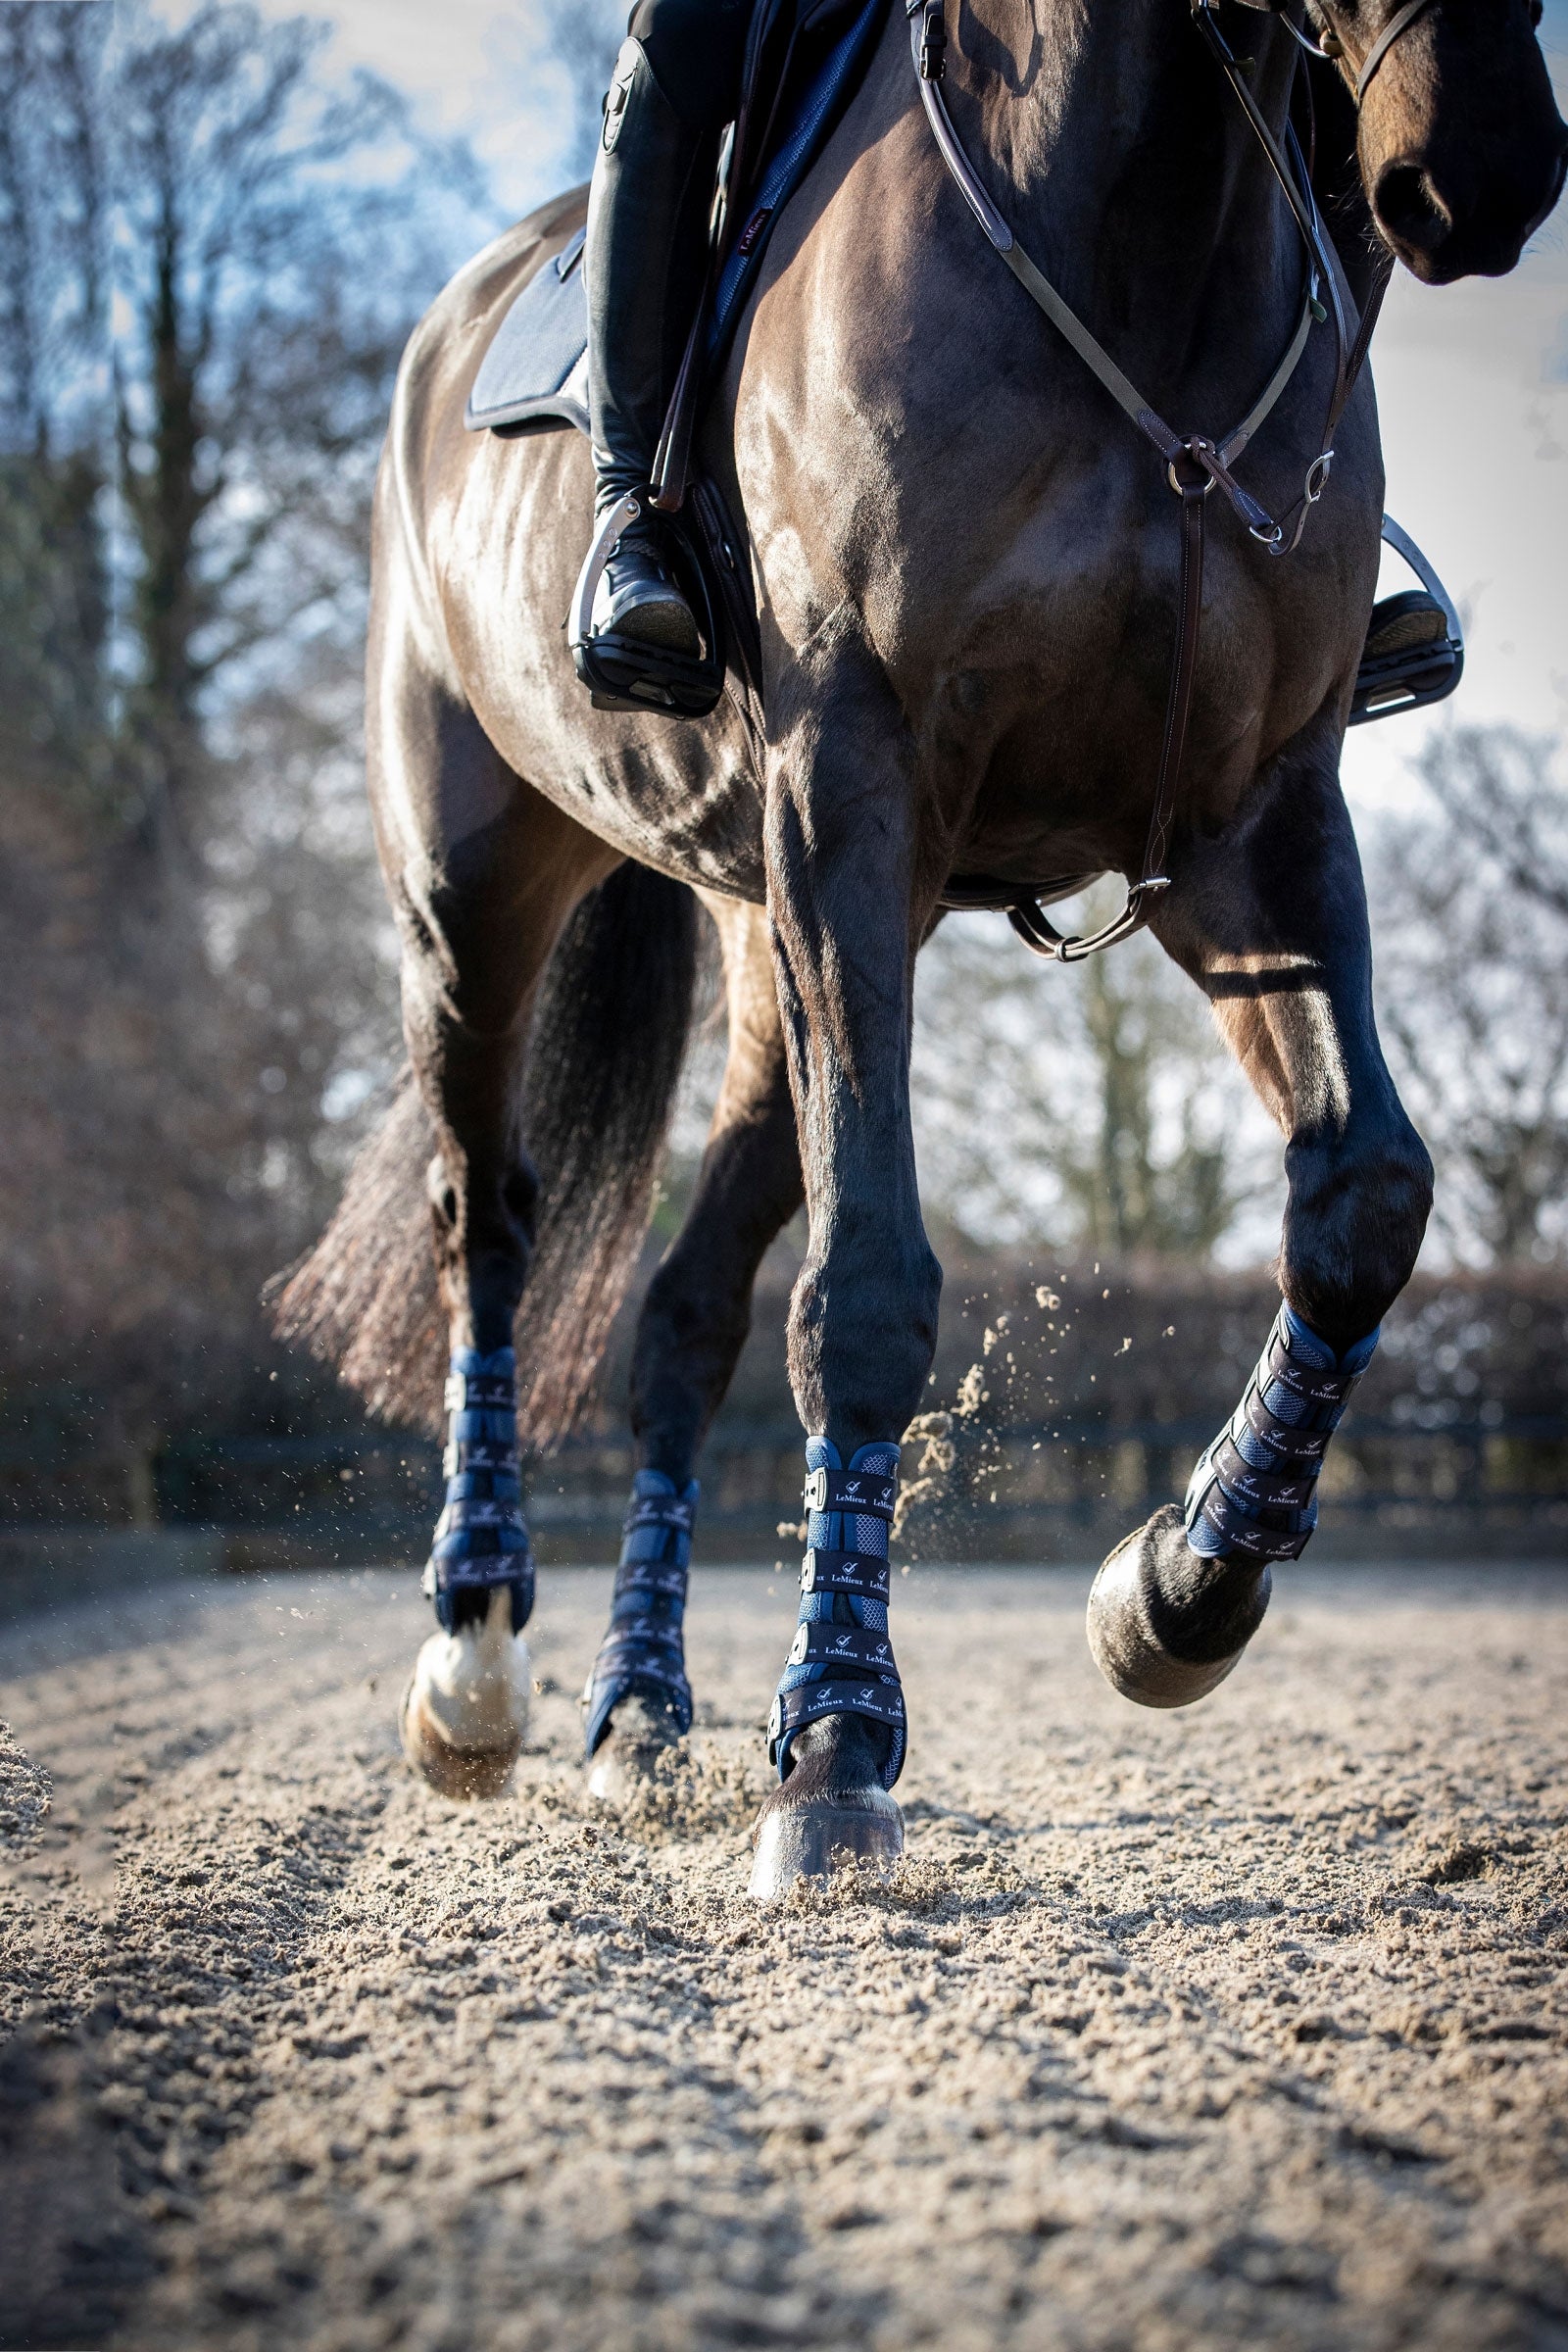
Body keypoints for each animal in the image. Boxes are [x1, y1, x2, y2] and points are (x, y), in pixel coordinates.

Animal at [276, 0, 1566, 1898]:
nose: (1481, 162)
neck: (1135, 233)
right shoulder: (854, 792)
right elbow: (868, 1291)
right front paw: (832, 1747)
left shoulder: (1250, 821)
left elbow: (1364, 1203)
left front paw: (1178, 1589)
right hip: (474, 887)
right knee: (487, 1225)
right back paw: (475, 1661)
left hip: (766, 960)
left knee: (681, 1314)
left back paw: (640, 1716)